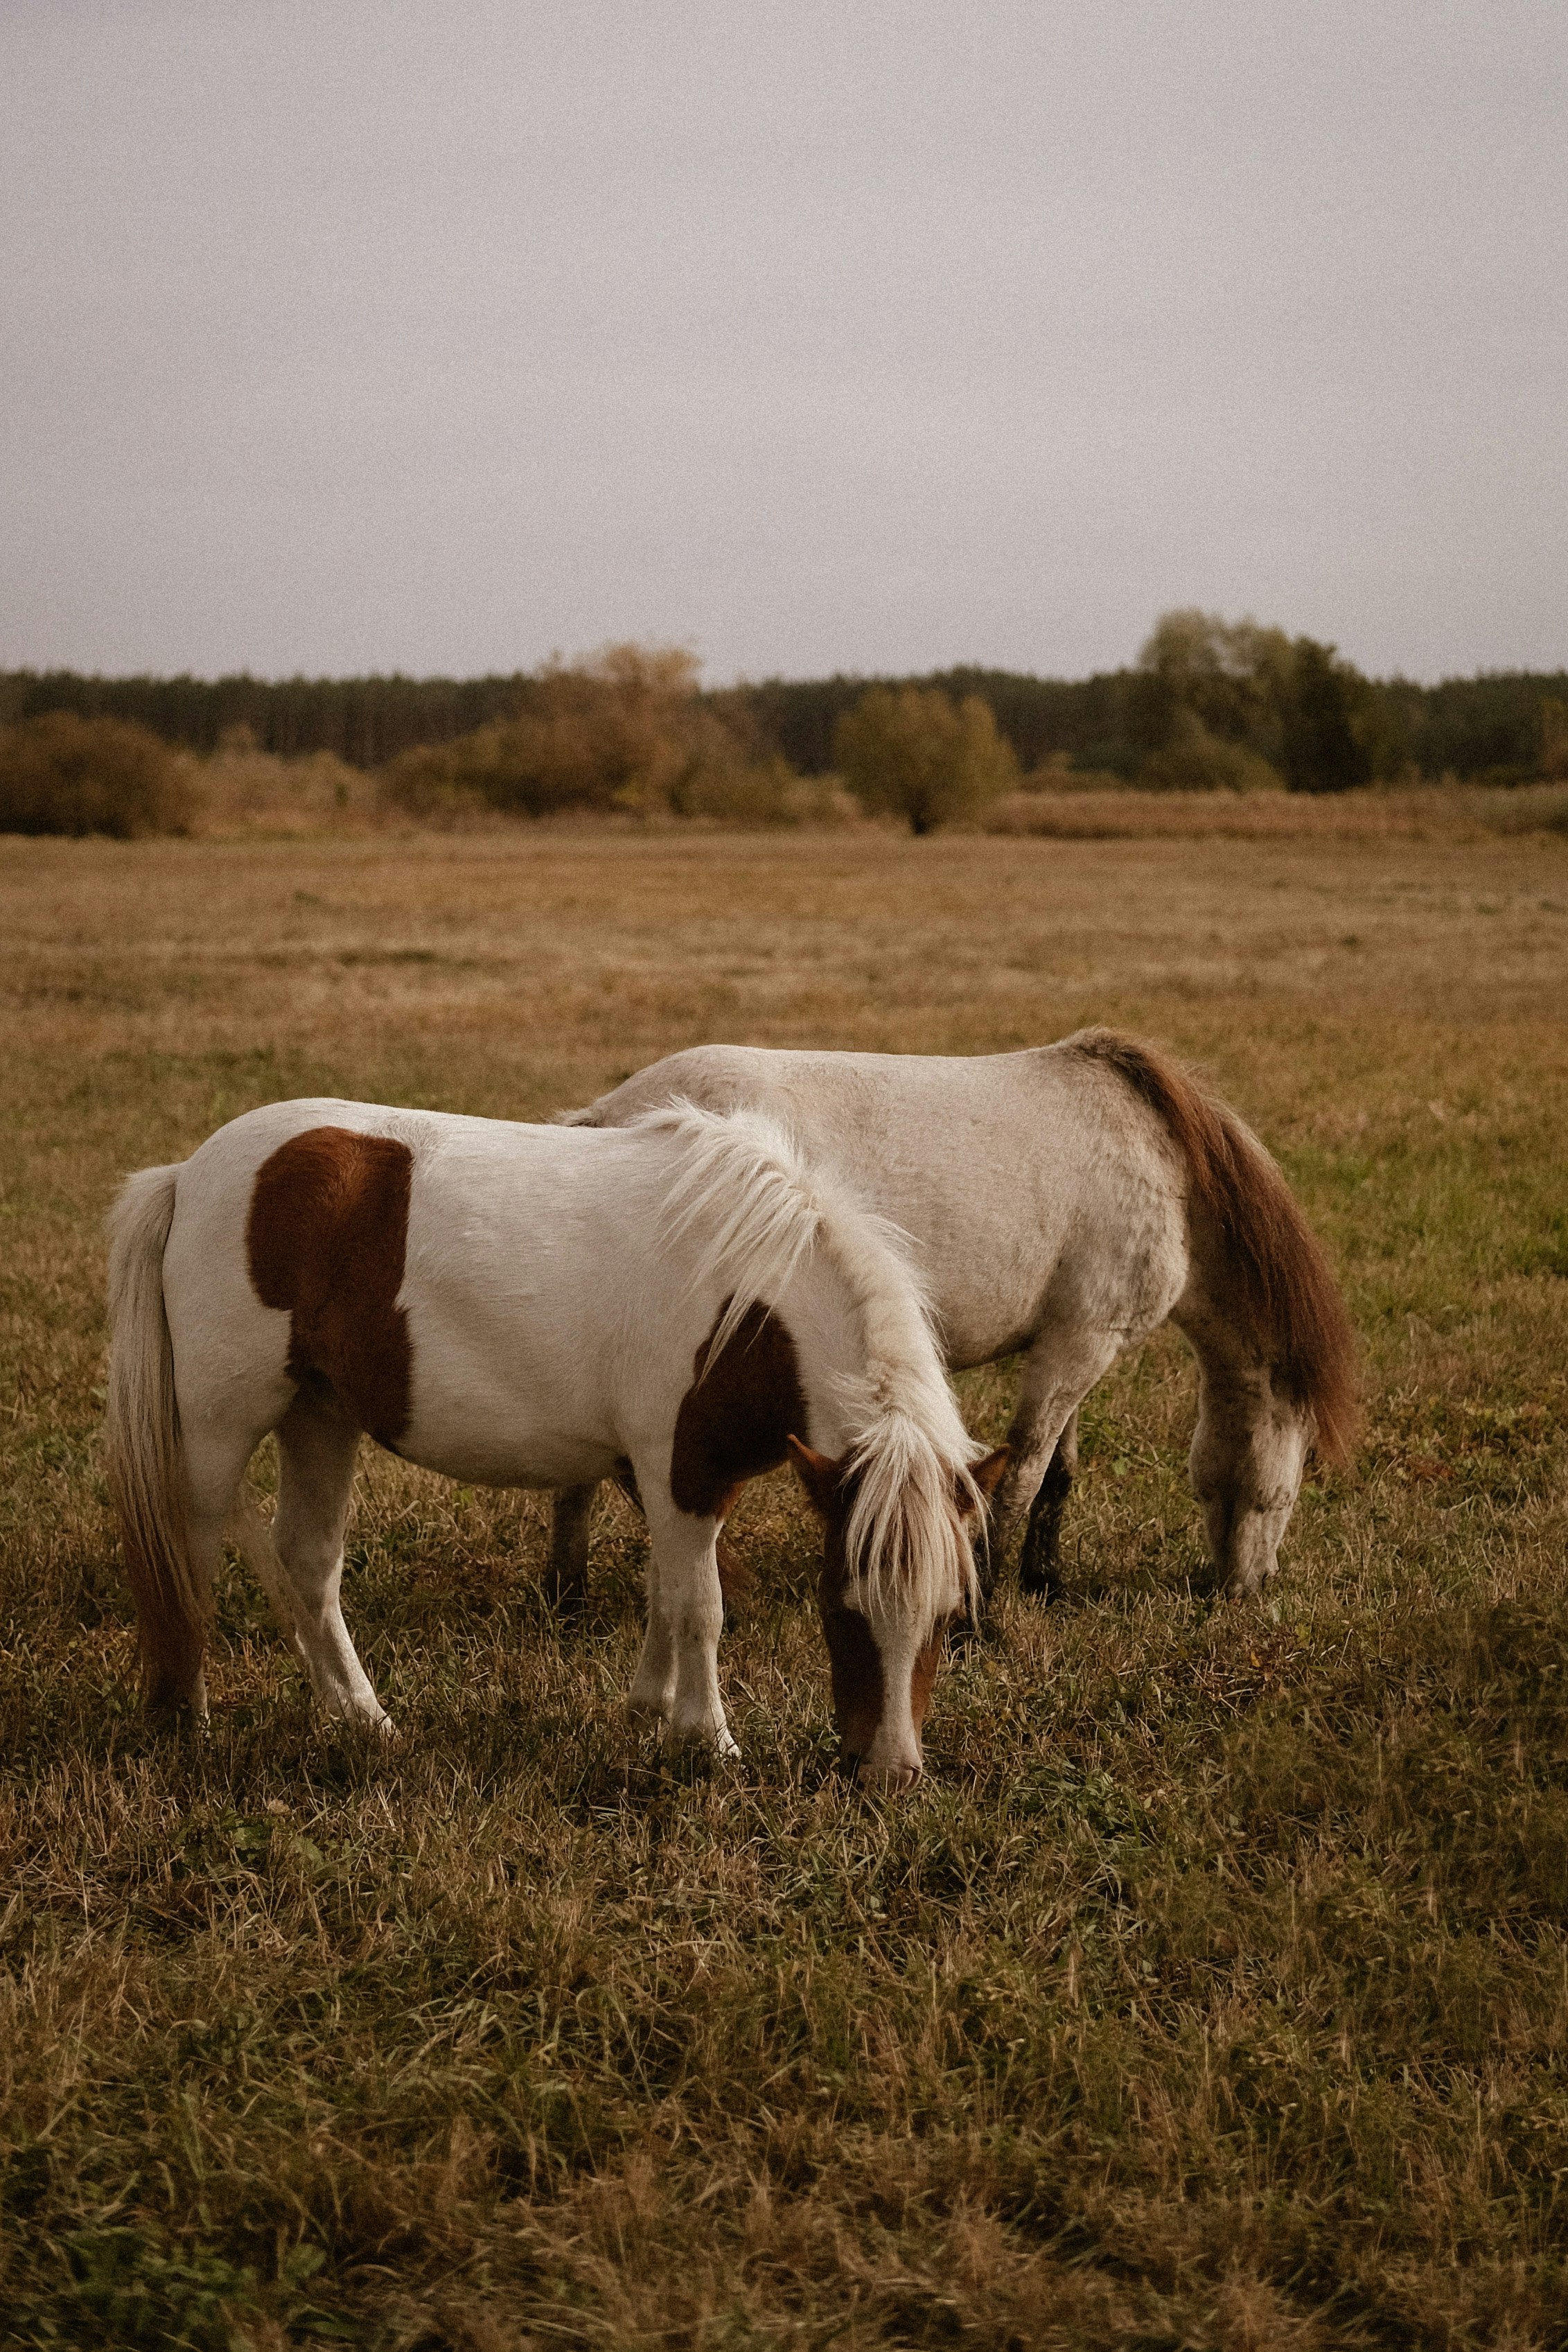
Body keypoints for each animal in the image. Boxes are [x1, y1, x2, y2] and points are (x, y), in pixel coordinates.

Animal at [110, 1100, 1010, 1778]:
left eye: (948, 1614)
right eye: (837, 1605)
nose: (888, 1772)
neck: (745, 1295)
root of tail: (187, 1176)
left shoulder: (685, 1480)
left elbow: (666, 1594)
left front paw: (649, 1710)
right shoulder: (680, 1471)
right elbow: (701, 1608)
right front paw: (708, 1741)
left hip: (319, 1414)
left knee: (308, 1560)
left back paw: (361, 1717)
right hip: (223, 1424)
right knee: (189, 1554)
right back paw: (186, 1718)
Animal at [557, 1035, 1354, 1618]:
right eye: (1294, 1481)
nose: (1244, 1590)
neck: (1167, 1167)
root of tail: (604, 1116)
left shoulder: (1070, 1342)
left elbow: (1058, 1472)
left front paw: (1045, 1583)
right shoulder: (1082, 1344)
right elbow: (1023, 1470)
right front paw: (983, 1608)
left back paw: (567, 1602)